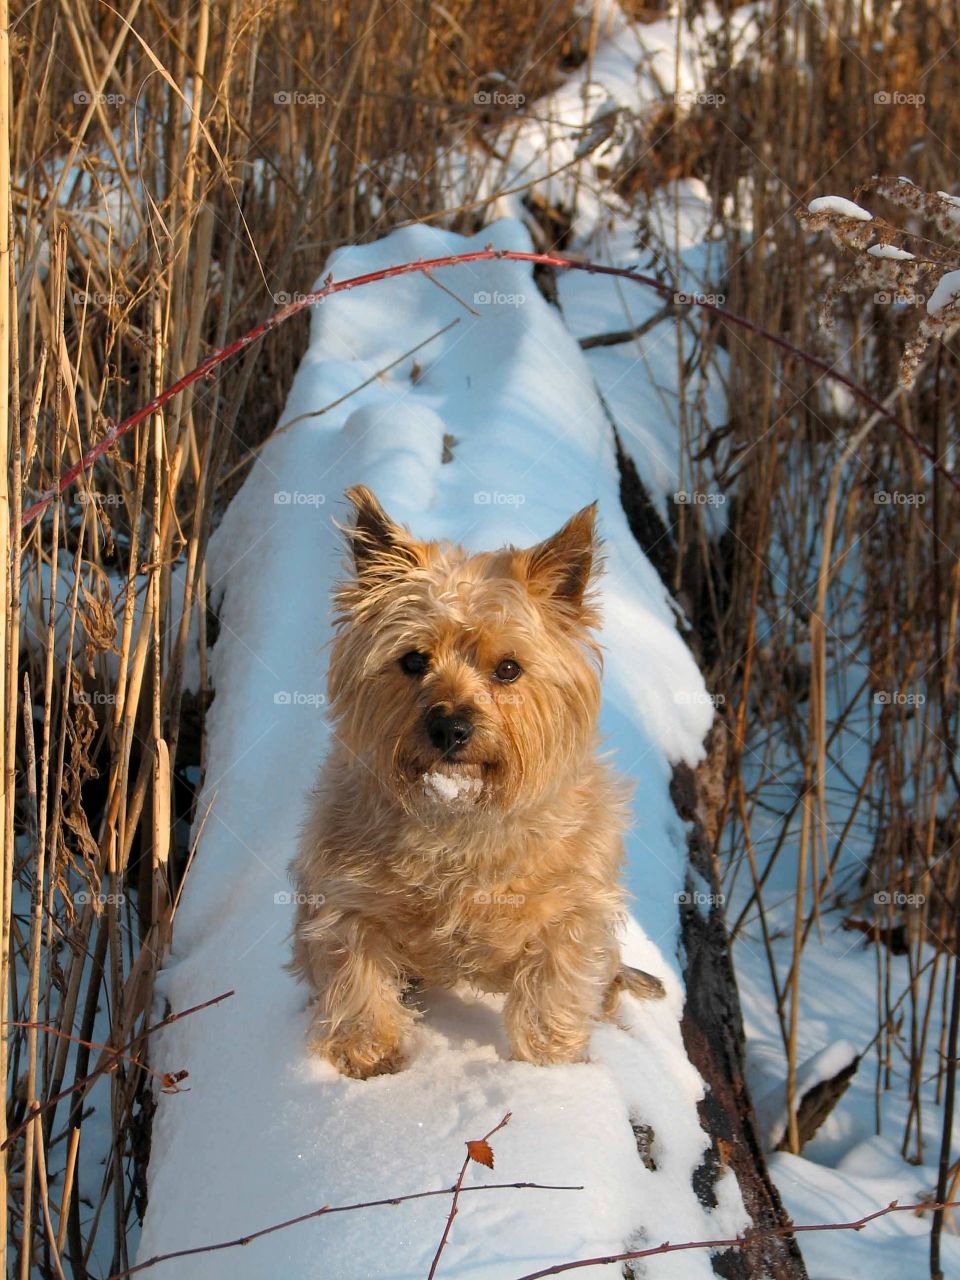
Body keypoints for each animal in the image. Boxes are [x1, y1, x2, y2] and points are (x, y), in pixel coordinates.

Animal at [289, 483, 665, 1075]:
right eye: (413, 660)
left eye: (508, 669)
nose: (449, 727)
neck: (458, 817)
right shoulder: (342, 897)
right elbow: (356, 975)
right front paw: (367, 1056)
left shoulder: (570, 913)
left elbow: (553, 992)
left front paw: (549, 1068)